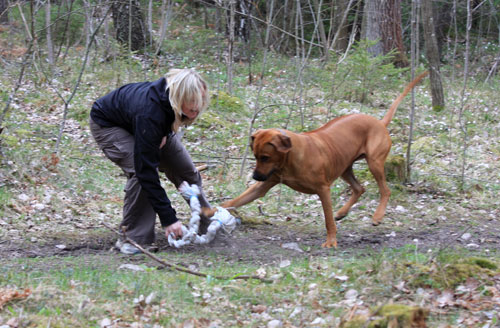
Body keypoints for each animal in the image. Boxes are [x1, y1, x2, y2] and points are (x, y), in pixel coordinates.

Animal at [221, 71, 428, 246]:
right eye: (255, 156)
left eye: (265, 157)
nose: (255, 177)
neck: (289, 161)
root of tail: (379, 122)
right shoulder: (265, 183)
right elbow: (234, 201)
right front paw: (218, 209)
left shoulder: (323, 189)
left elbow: (328, 220)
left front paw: (331, 242)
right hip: (344, 167)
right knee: (359, 188)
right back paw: (342, 212)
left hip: (374, 162)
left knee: (385, 190)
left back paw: (377, 216)